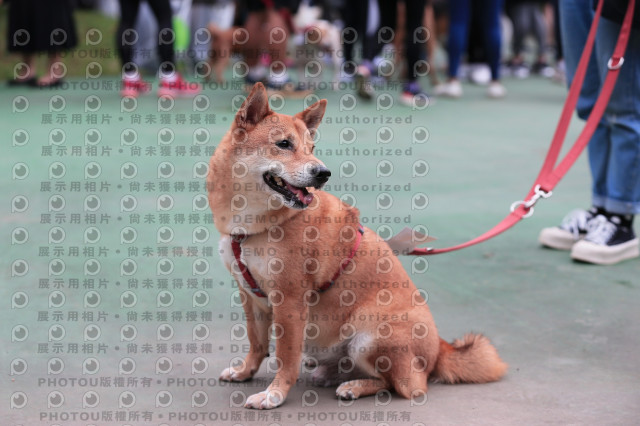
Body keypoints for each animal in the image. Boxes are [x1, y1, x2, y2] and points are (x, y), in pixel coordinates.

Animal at [208, 83, 508, 410]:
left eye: (311, 148)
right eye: (284, 144)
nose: (323, 173)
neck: (251, 226)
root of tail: (440, 350)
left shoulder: (290, 298)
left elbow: (286, 355)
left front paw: (274, 394)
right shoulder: (250, 294)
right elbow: (257, 343)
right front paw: (244, 372)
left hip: (370, 334)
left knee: (406, 386)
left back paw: (355, 386)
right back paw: (330, 374)